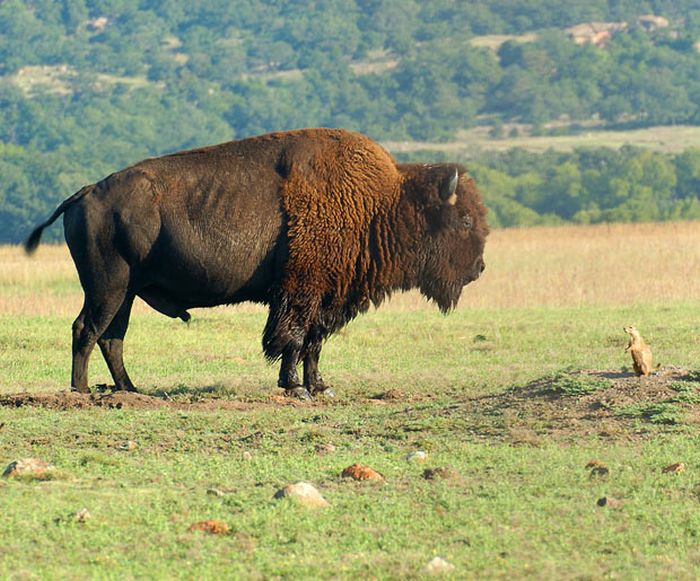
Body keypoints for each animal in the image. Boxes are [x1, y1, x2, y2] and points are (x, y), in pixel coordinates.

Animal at [24, 127, 490, 398]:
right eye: (464, 219)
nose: (480, 268)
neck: (383, 202)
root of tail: (86, 192)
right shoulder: (300, 293)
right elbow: (293, 340)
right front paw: (295, 389)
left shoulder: (326, 298)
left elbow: (314, 343)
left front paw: (320, 387)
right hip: (108, 287)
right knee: (86, 330)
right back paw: (82, 393)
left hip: (126, 293)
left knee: (111, 337)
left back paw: (132, 390)